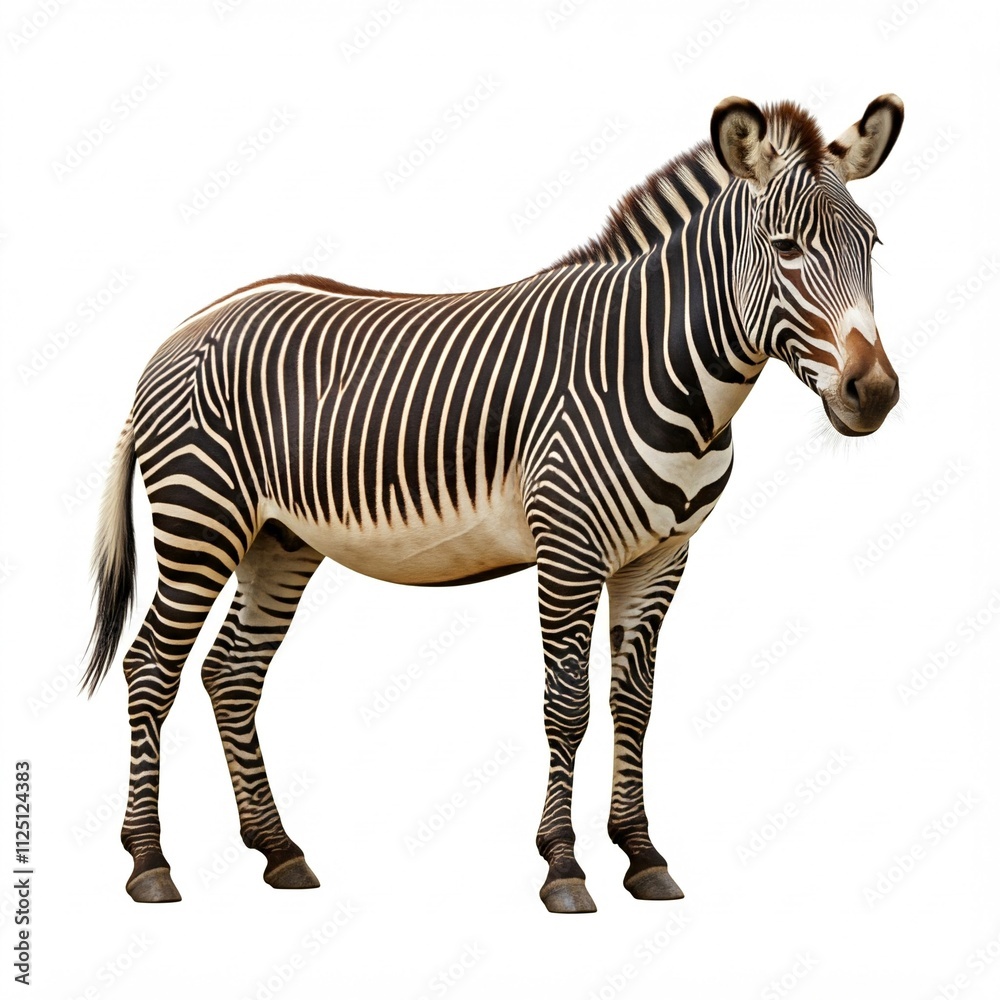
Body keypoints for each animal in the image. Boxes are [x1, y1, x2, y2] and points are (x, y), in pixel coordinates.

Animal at [83, 94, 903, 913]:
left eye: (871, 244)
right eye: (787, 247)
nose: (876, 394)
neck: (668, 375)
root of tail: (187, 325)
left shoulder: (662, 557)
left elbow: (633, 705)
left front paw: (641, 854)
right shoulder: (569, 548)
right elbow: (567, 705)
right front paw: (563, 865)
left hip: (276, 538)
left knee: (232, 673)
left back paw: (278, 850)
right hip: (201, 518)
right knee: (152, 664)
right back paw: (149, 861)